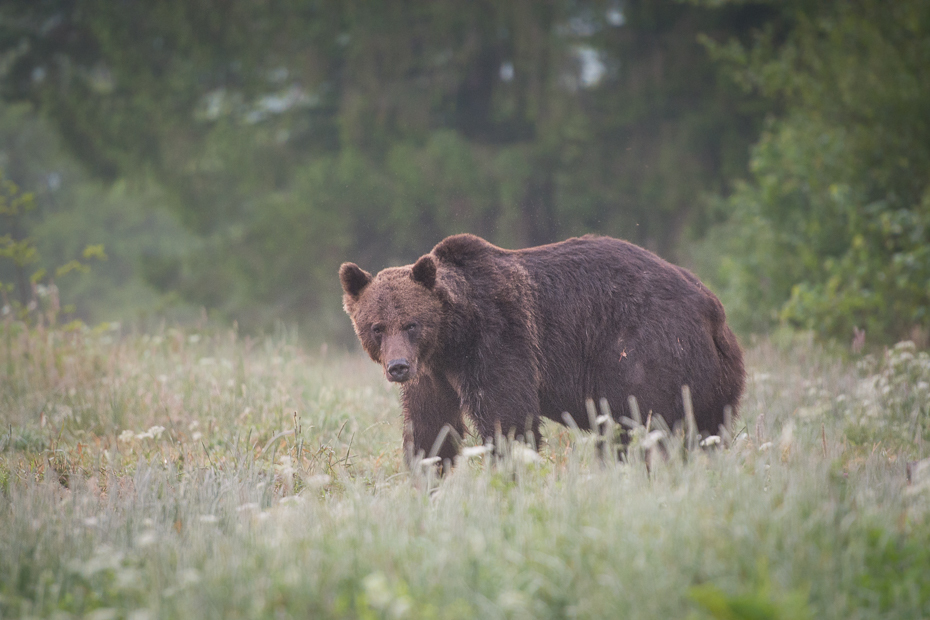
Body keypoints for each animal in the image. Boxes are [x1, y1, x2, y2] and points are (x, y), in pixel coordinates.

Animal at [338, 232, 744, 464]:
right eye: (377, 327)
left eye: (412, 323)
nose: (398, 366)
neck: (452, 339)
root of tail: (712, 308)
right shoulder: (433, 374)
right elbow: (430, 428)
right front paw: (429, 476)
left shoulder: (500, 339)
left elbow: (508, 419)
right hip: (712, 380)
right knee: (702, 430)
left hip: (648, 351)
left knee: (639, 423)